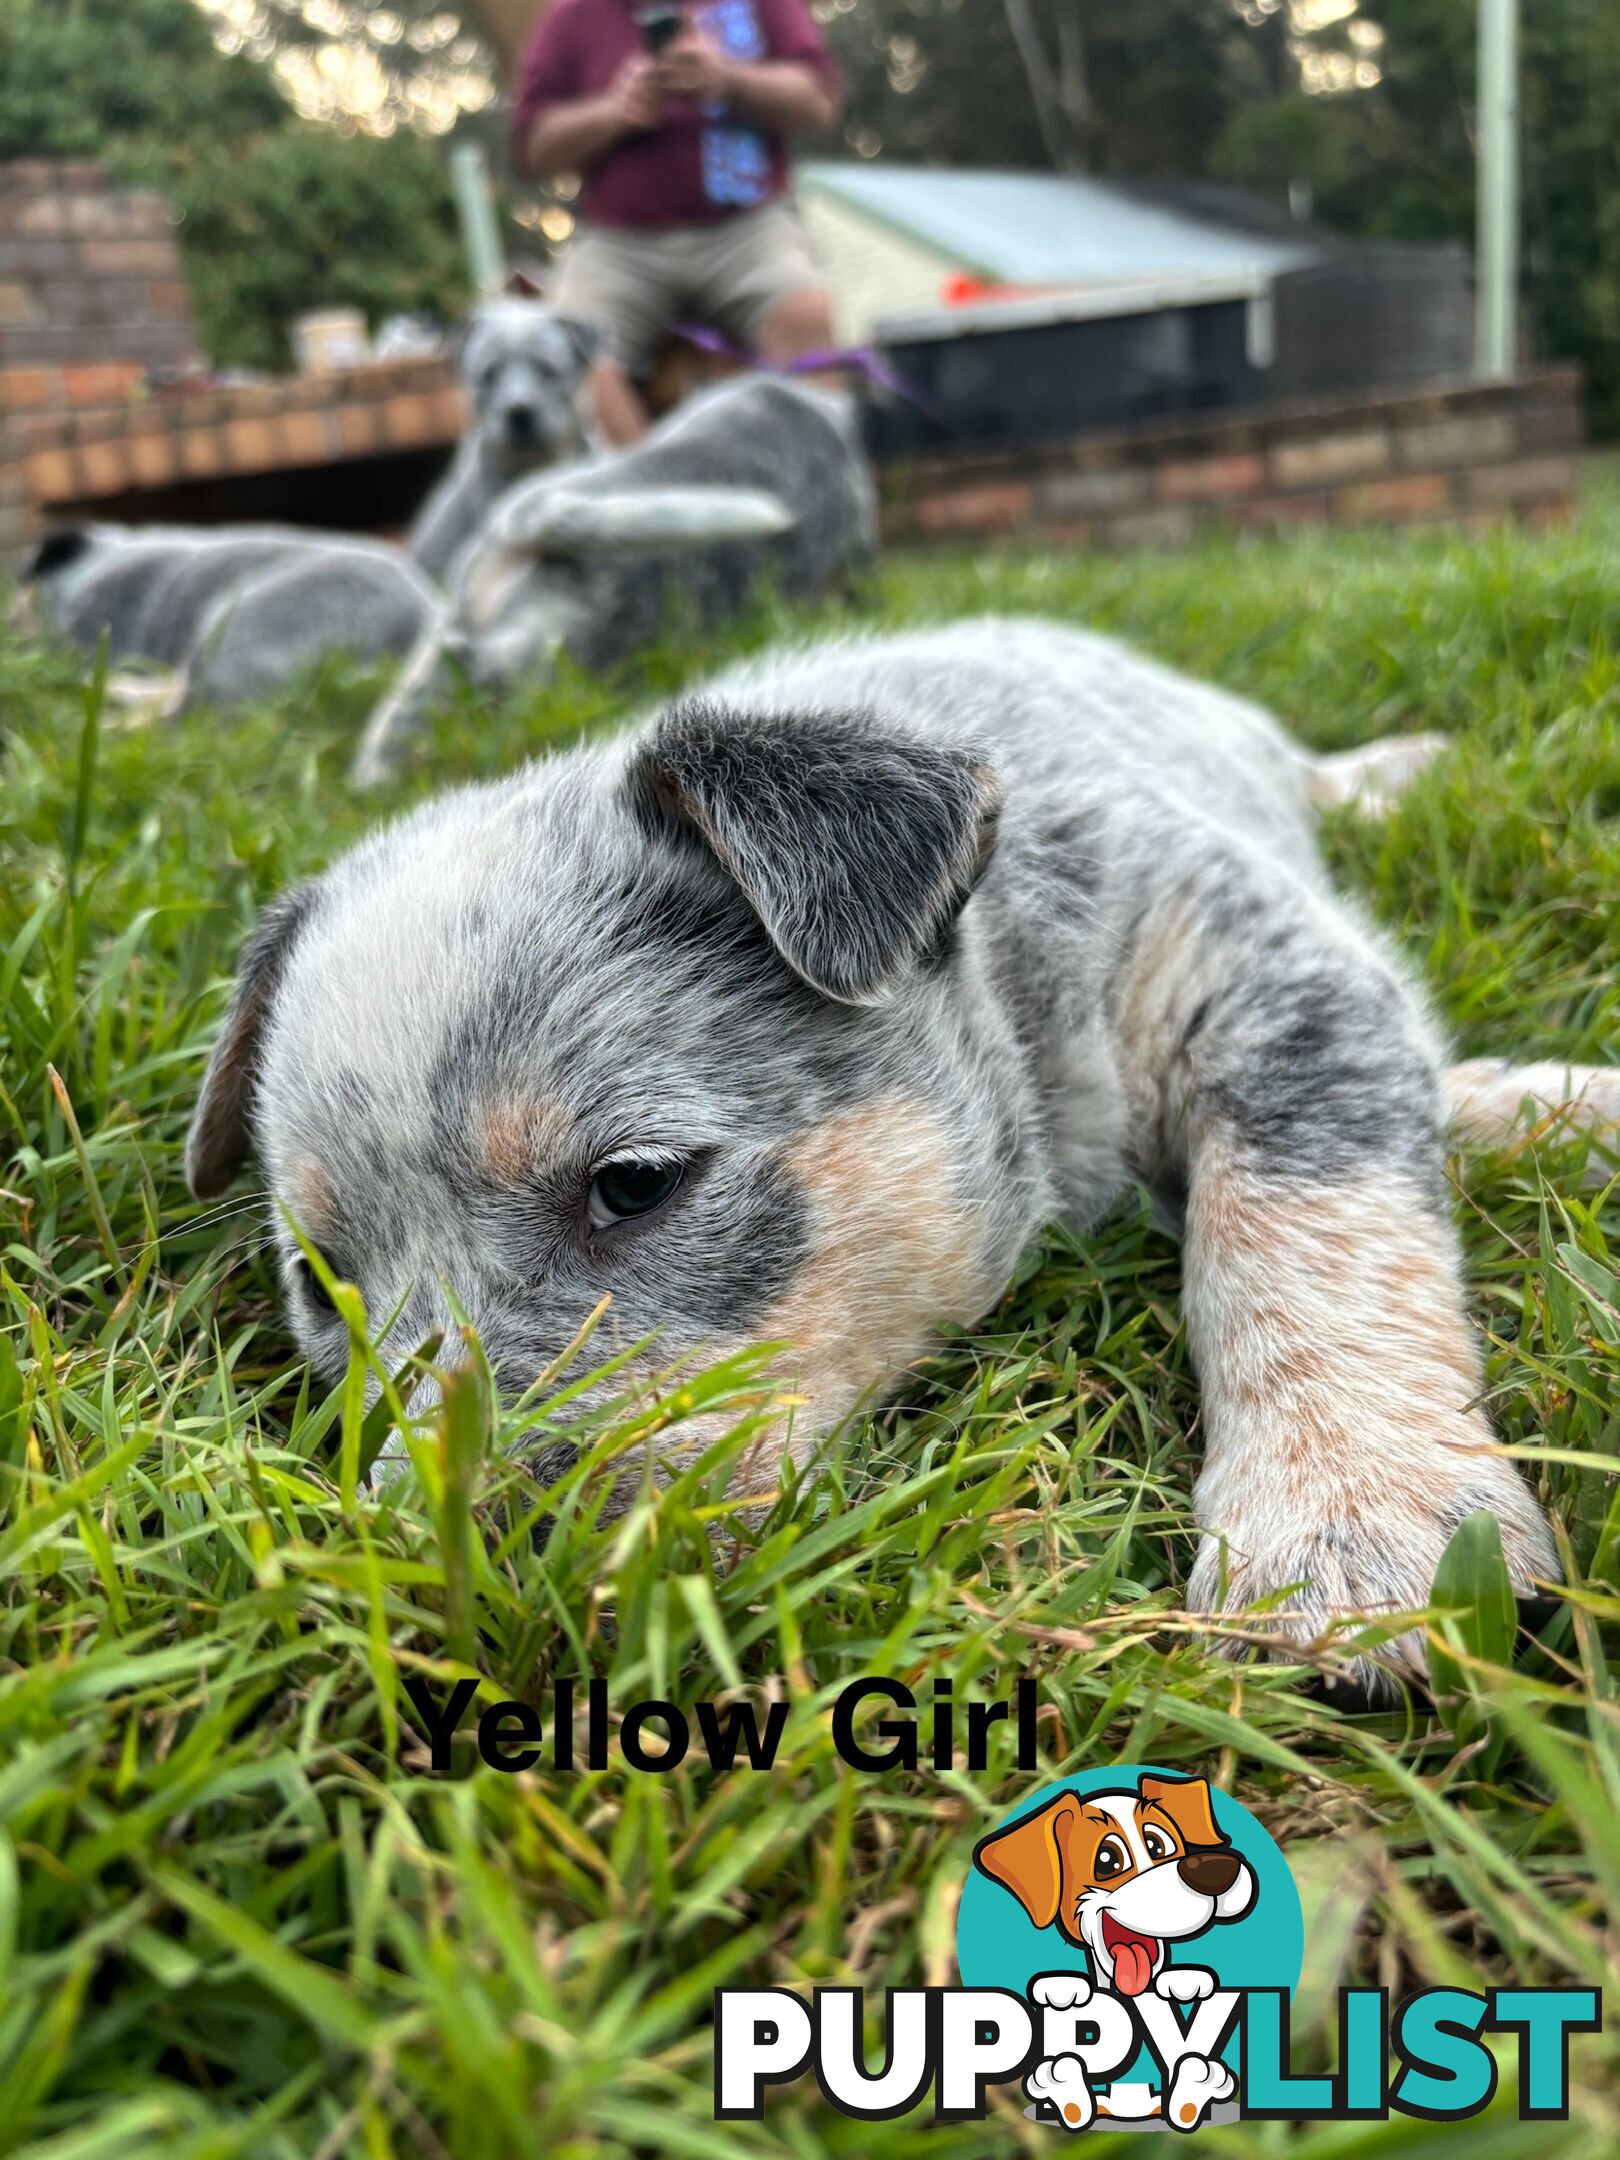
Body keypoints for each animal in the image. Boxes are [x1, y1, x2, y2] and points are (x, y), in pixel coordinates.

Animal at [183, 617, 1615, 1693]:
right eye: (321, 1282)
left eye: (635, 1181)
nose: (452, 1583)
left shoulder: (1260, 966)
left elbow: (1305, 1218)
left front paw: (1354, 1506)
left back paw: (1400, 772)